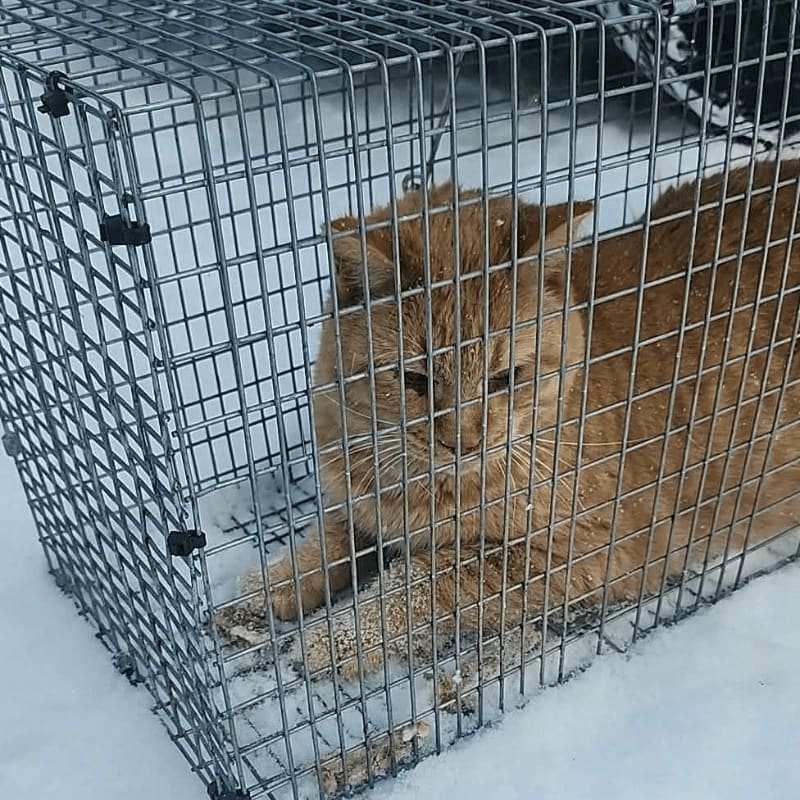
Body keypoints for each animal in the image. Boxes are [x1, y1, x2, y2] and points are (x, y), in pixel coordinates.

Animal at [218, 160, 800, 683]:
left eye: (505, 377)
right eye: (414, 379)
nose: (464, 442)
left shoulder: (570, 555)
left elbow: (419, 580)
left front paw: (337, 636)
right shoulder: (363, 504)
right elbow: (330, 537)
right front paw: (274, 582)